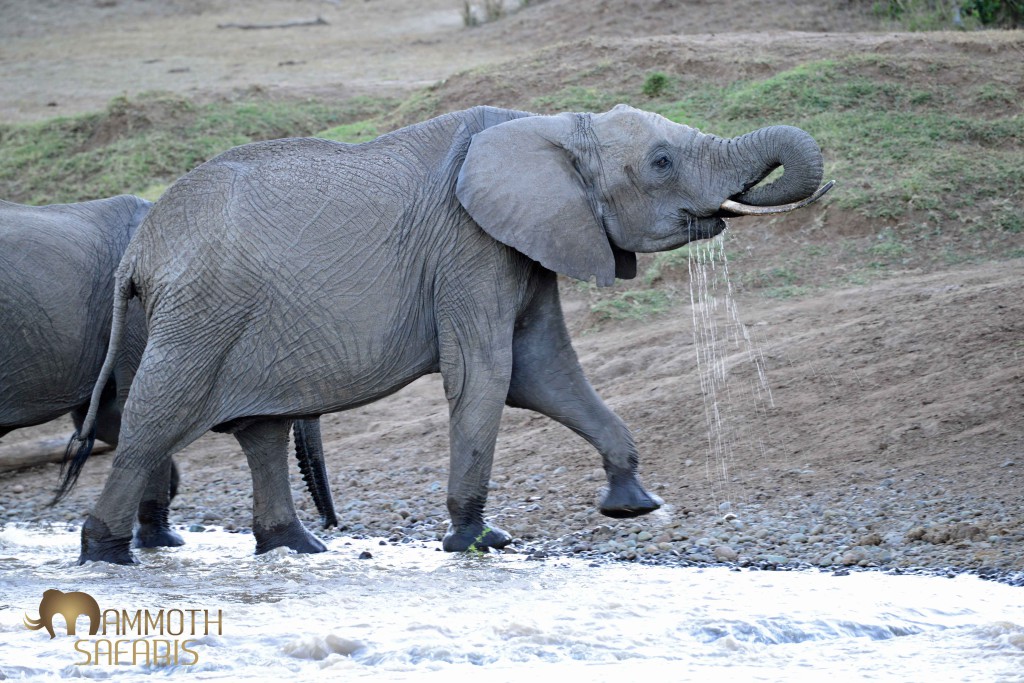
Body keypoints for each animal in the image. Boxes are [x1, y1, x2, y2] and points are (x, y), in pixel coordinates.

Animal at [65, 104, 831, 565]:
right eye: (662, 162)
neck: (553, 126)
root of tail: (141, 247)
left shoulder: (522, 246)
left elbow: (545, 372)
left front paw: (632, 503)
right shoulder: (470, 248)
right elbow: (489, 375)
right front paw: (479, 538)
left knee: (260, 431)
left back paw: (298, 548)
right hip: (200, 316)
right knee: (155, 421)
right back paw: (105, 554)